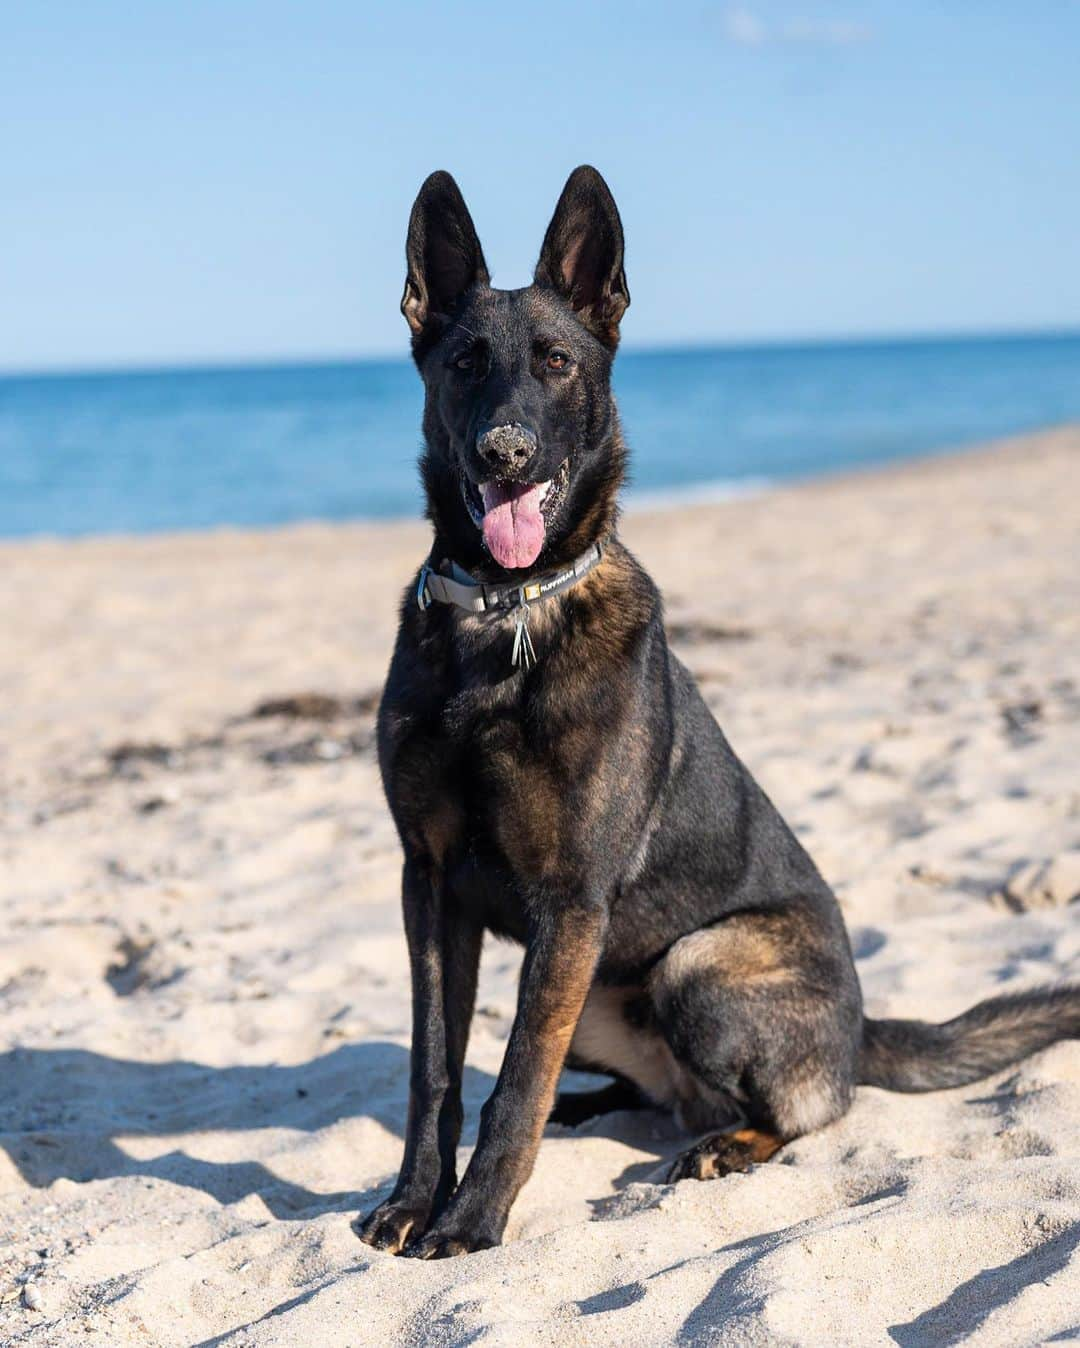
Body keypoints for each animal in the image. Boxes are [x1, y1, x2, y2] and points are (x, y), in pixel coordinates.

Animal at [361, 171, 1078, 1261]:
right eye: (465, 365)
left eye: (557, 363)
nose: (506, 453)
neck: (506, 611)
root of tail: (861, 1029)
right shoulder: (430, 884)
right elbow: (436, 1069)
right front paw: (414, 1201)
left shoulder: (569, 902)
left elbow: (516, 1081)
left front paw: (474, 1220)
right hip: (601, 986)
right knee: (639, 1089)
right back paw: (597, 1111)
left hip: (692, 962)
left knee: (793, 1113)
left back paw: (726, 1144)